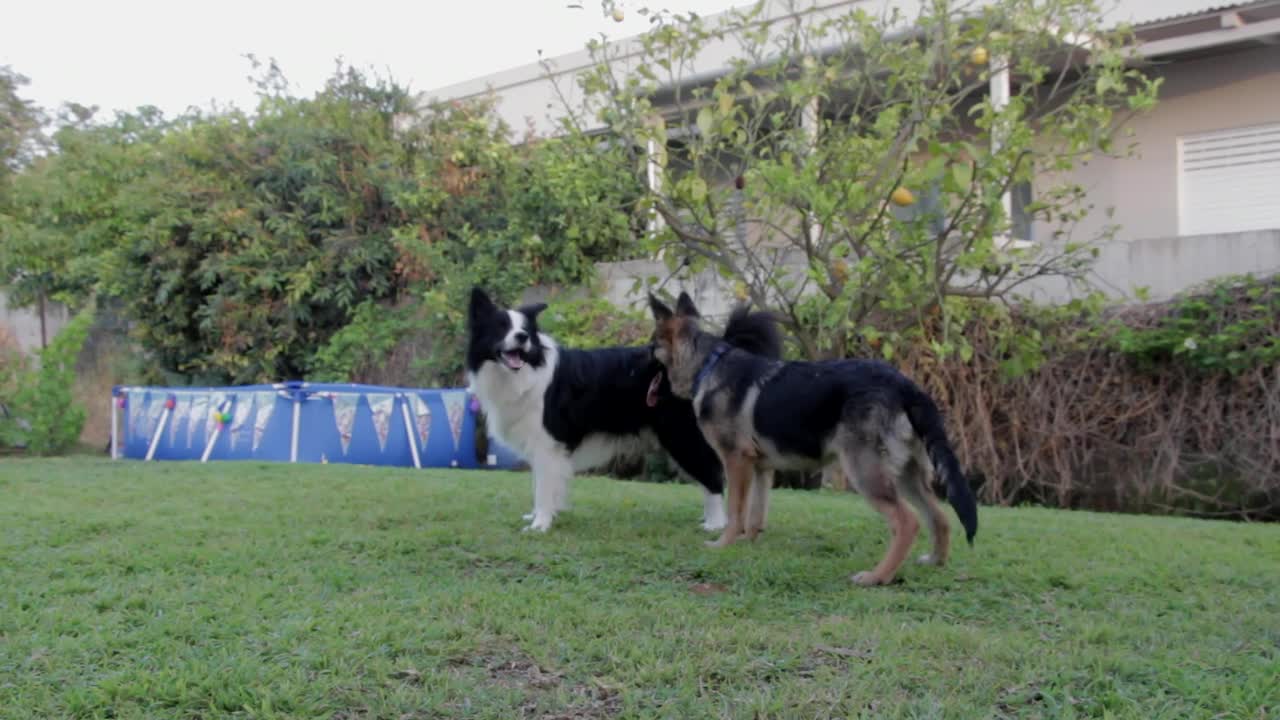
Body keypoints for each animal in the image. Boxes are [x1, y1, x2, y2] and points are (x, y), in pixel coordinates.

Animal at [465, 286, 773, 532]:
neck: (527, 372)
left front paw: (540, 524)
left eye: (525, 332)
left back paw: (715, 525)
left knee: (711, 476)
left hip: (680, 436)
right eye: (501, 327)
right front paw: (544, 515)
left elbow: (542, 487)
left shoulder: (547, 444)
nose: (521, 337)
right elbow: (546, 485)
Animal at [650, 289, 977, 584]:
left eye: (651, 345)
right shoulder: (761, 467)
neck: (708, 364)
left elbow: (735, 510)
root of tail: (905, 385)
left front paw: (723, 544)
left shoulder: (736, 462)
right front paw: (747, 542)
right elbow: (756, 513)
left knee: (907, 522)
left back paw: (877, 576)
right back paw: (935, 562)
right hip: (906, 475)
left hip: (865, 472)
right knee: (940, 517)